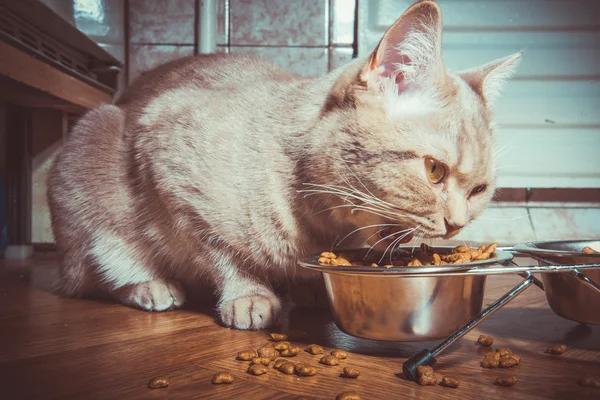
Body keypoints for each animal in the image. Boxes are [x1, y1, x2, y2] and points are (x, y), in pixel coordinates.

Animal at [49, 0, 524, 330]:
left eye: (479, 190)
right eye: (434, 171)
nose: (457, 225)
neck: (321, 226)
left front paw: (307, 289)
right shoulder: (171, 175)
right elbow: (221, 254)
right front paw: (249, 293)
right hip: (92, 145)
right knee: (96, 273)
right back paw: (150, 285)